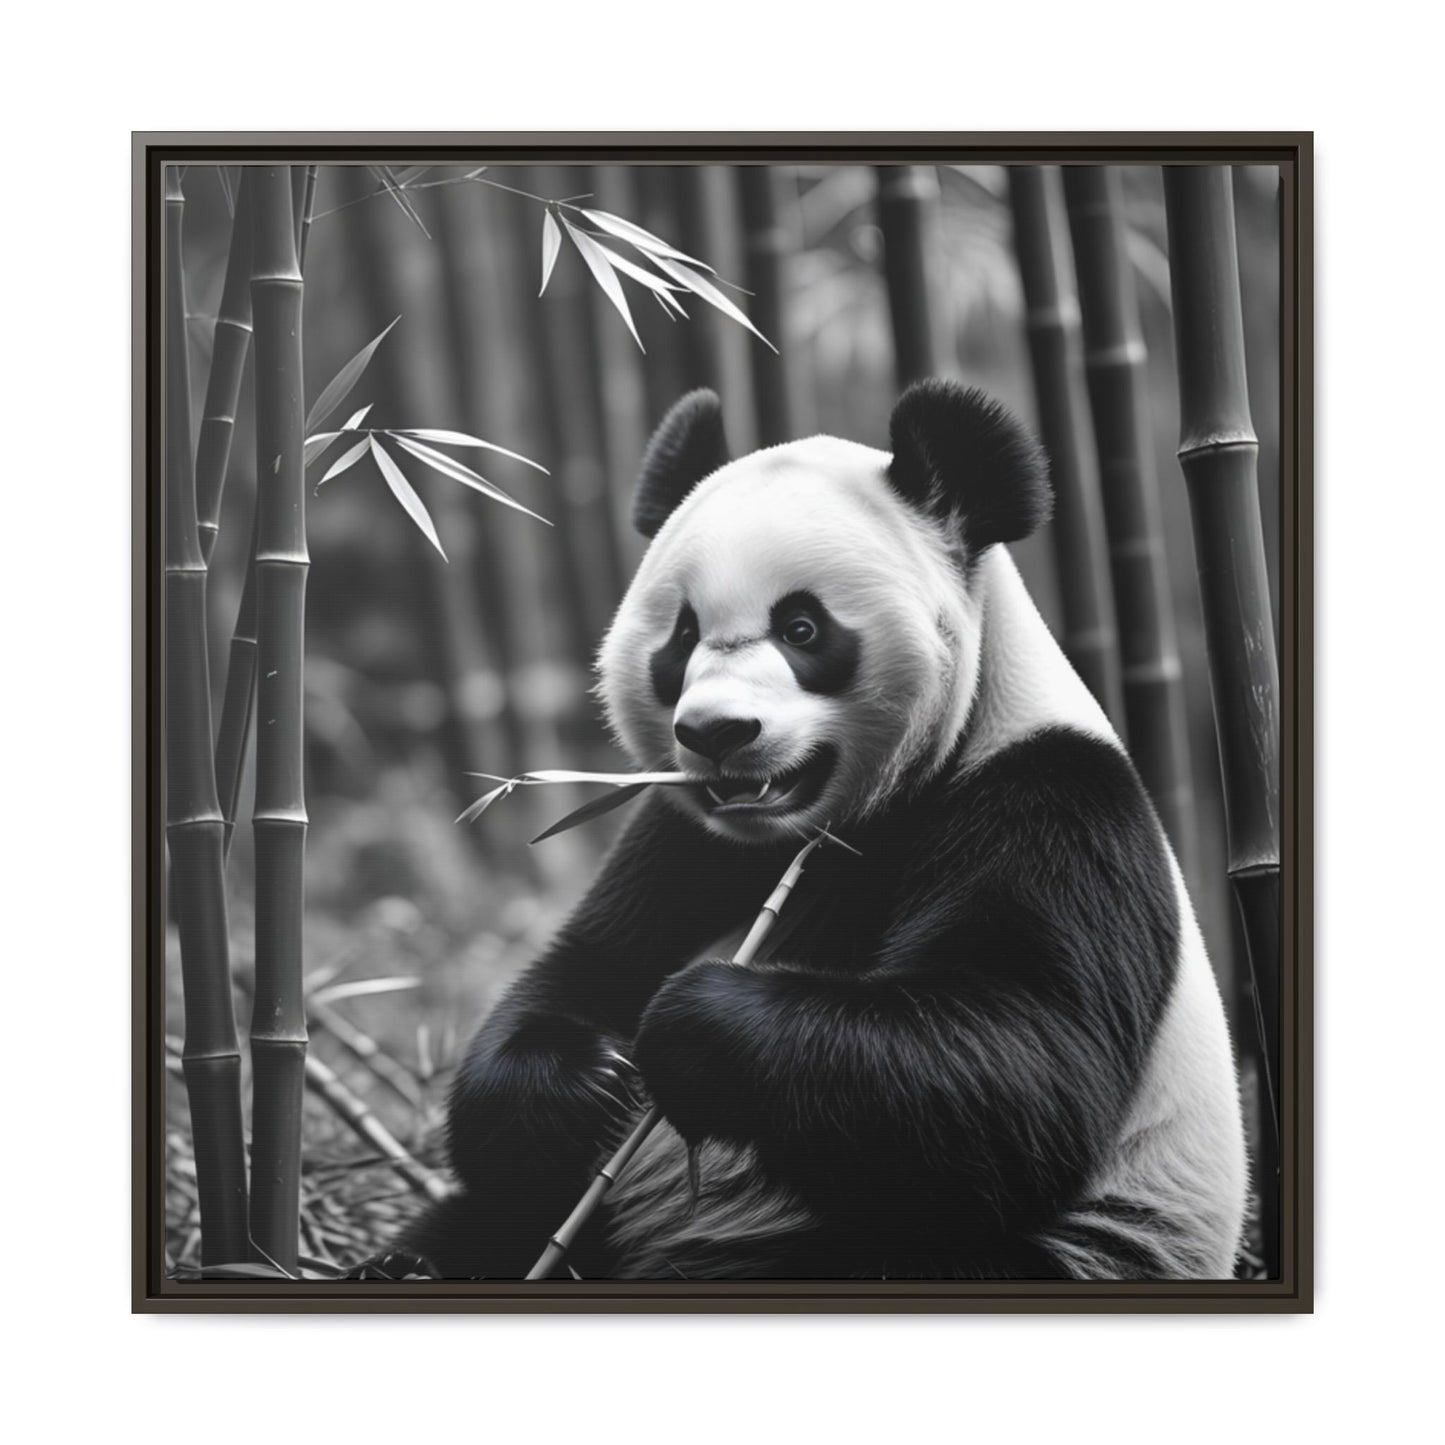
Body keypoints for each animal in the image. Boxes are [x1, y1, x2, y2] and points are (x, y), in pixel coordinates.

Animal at [397, 380, 1248, 1281]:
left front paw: (690, 1023)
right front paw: (588, 1079)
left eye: (801, 627)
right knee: (477, 1225)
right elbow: (574, 977)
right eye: (684, 635)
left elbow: (1018, 1064)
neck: (830, 830)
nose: (717, 732)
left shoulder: (1052, 801)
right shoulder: (683, 837)